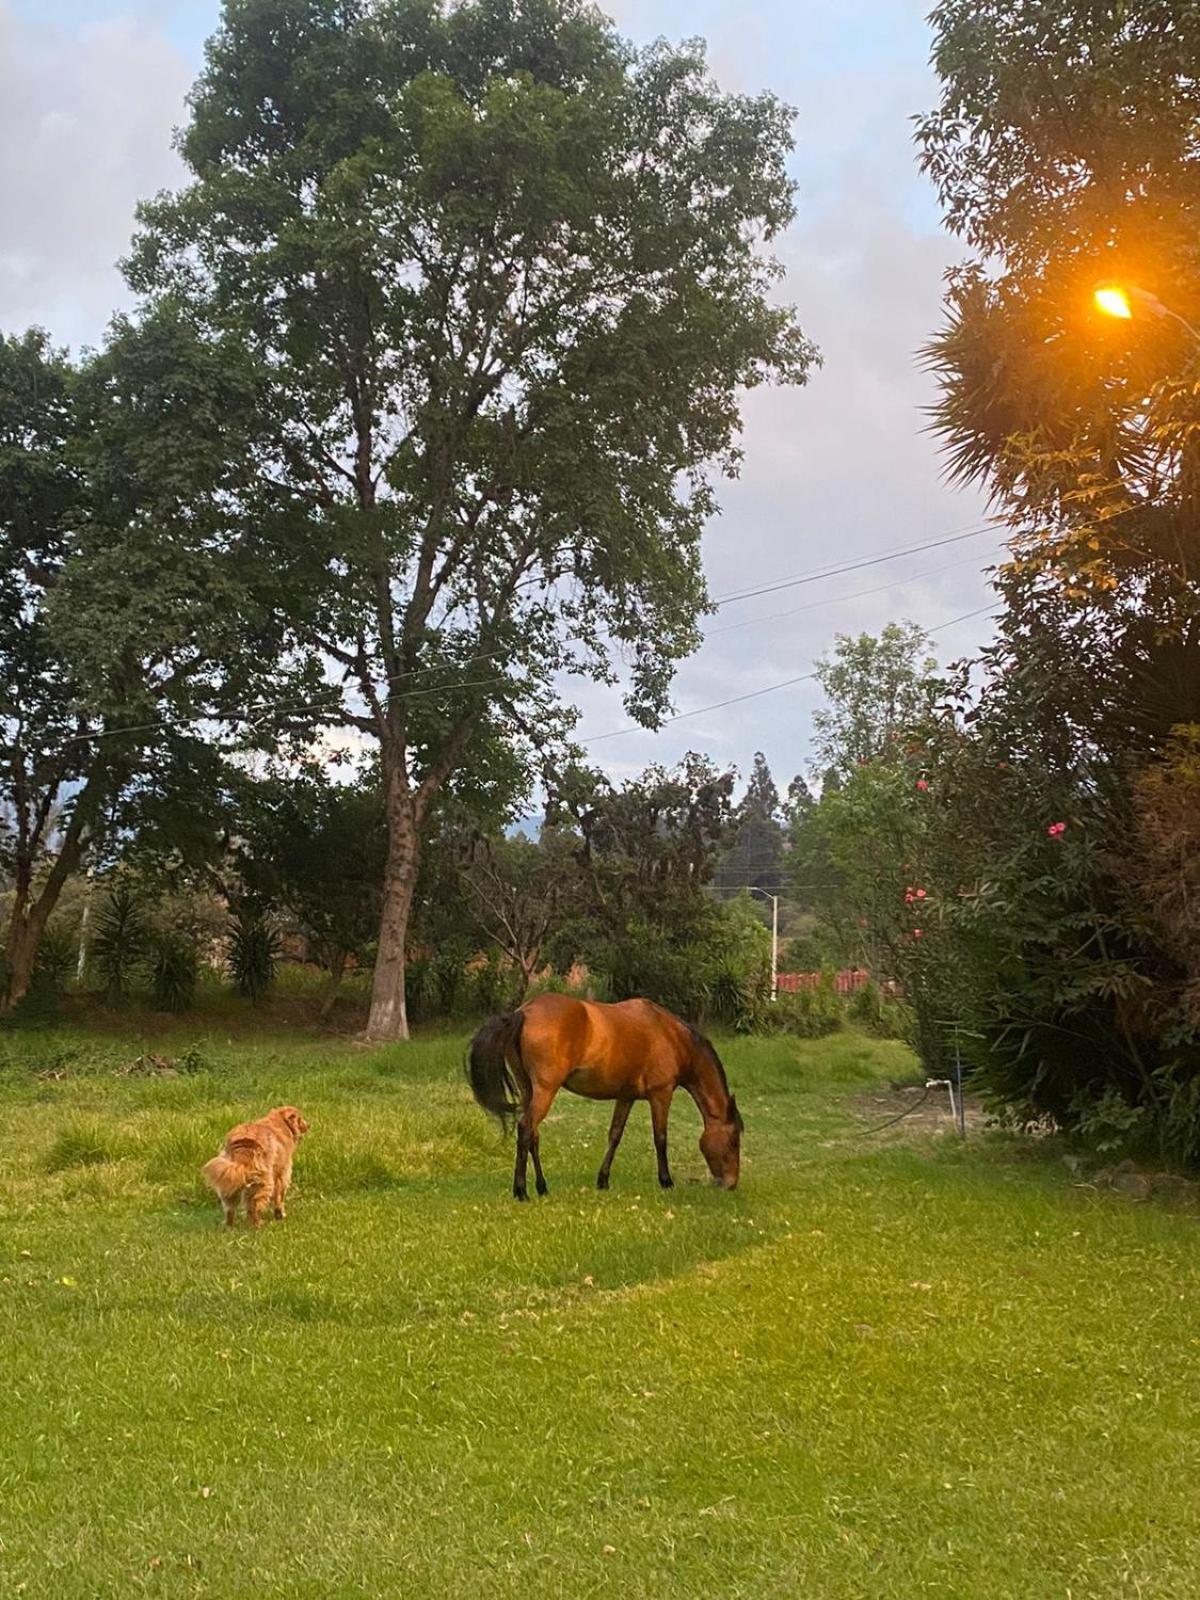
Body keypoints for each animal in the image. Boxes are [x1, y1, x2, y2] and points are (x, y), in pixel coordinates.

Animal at [464, 985, 739, 1203]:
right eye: (734, 1140)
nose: (731, 1183)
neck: (671, 1036)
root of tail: (523, 1012)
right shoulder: (661, 1094)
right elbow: (660, 1138)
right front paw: (666, 1181)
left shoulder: (626, 1097)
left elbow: (615, 1136)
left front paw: (603, 1180)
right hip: (545, 1090)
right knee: (525, 1129)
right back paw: (521, 1191)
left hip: (528, 1089)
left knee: (533, 1135)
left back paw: (542, 1187)